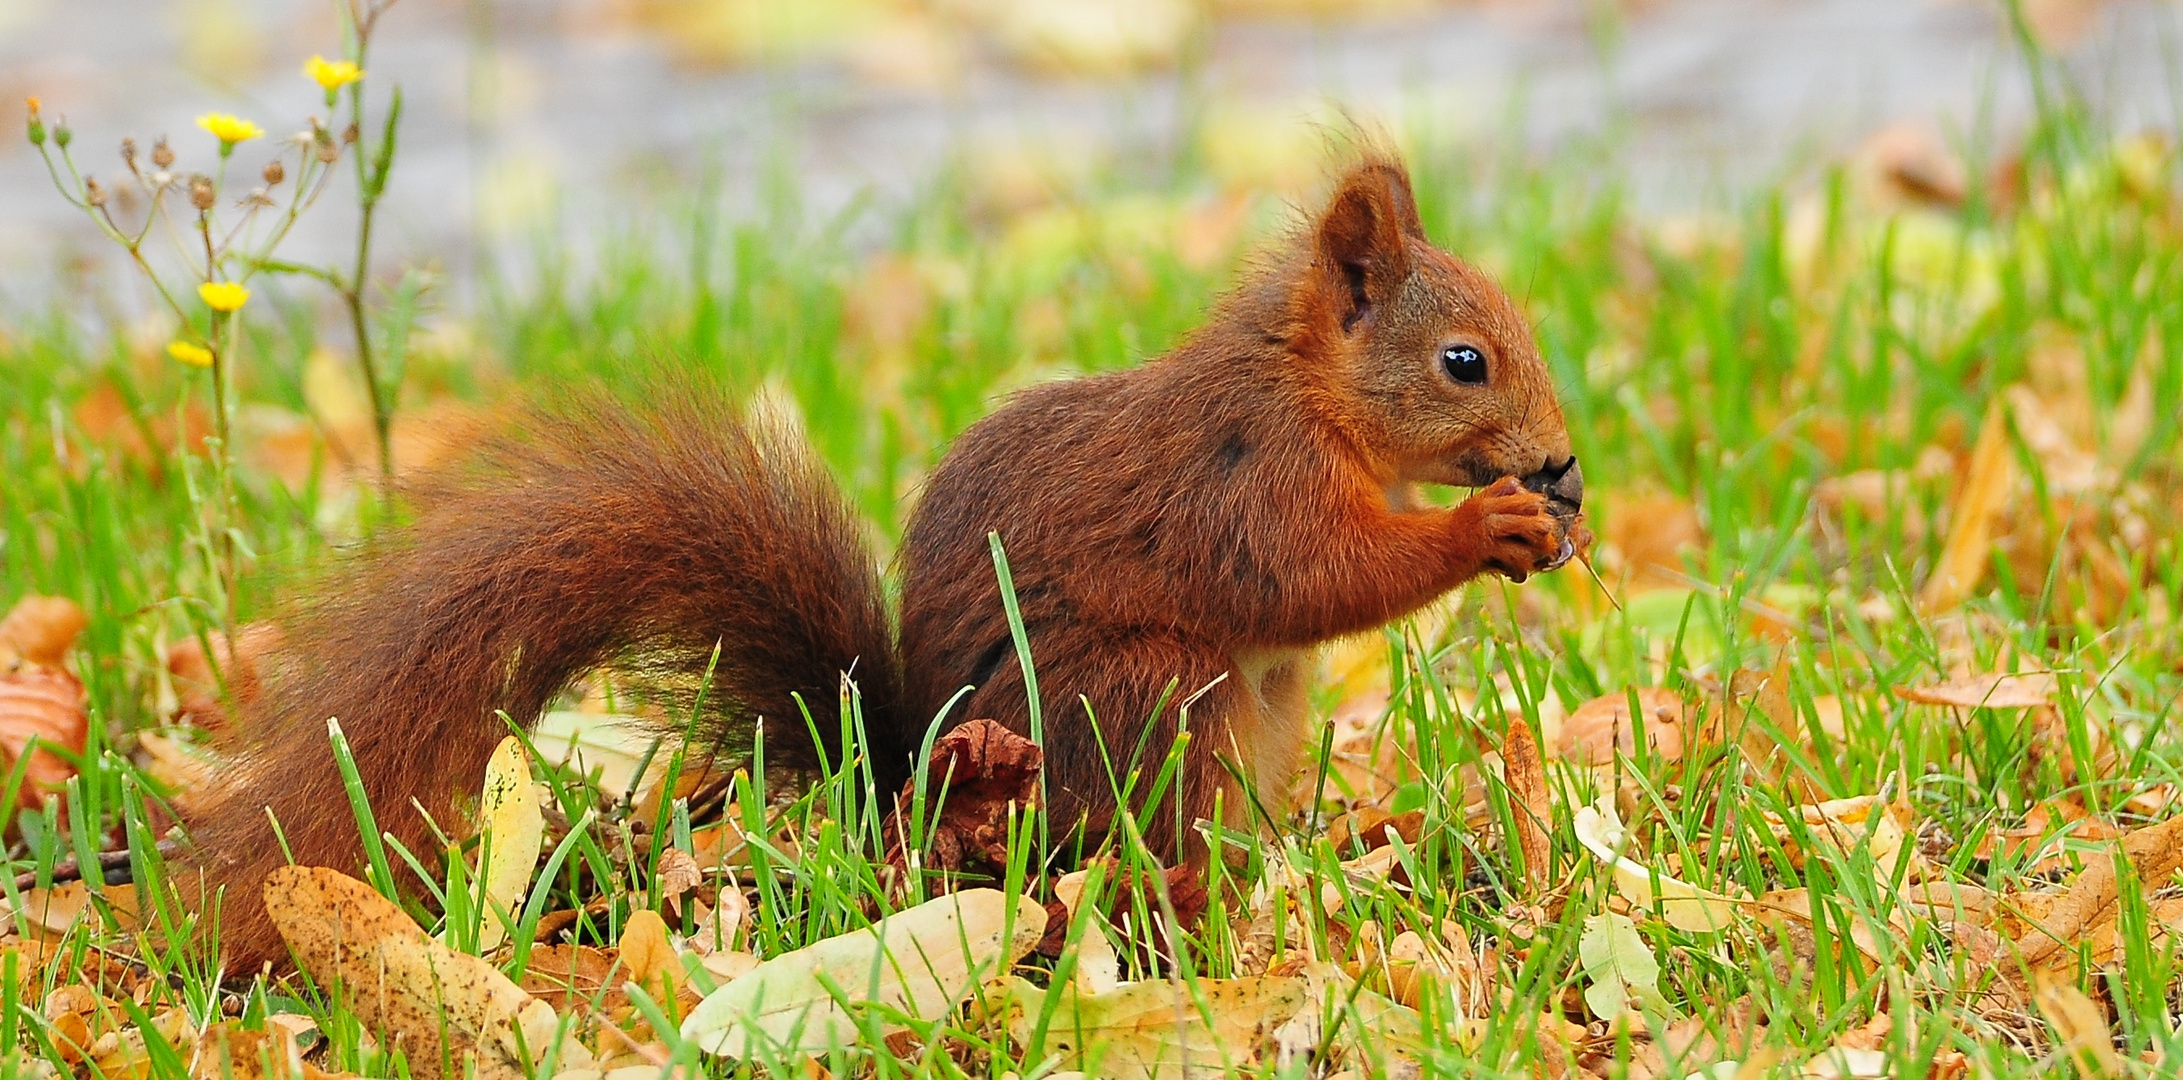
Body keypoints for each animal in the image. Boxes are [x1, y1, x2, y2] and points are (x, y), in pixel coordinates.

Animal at [187, 152, 1589, 973]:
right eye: (1463, 361)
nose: (1562, 464)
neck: (1308, 390)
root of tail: (909, 778)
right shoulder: (1245, 482)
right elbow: (1314, 577)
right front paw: (1487, 528)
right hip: (1146, 695)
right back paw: (1192, 907)